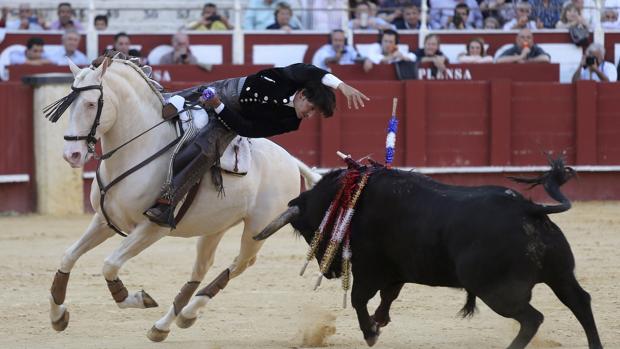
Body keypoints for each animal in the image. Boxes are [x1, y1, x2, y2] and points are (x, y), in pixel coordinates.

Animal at [47, 56, 312, 340]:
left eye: (91, 103)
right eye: (68, 103)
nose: (72, 154)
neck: (140, 147)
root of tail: (290, 159)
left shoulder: (153, 228)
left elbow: (109, 264)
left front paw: (137, 298)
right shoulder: (104, 220)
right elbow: (68, 256)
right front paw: (58, 316)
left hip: (257, 230)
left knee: (241, 263)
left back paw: (183, 314)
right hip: (215, 227)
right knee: (202, 267)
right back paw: (172, 321)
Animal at [254, 158, 604, 348]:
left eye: (311, 229)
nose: (330, 272)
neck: (353, 200)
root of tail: (529, 209)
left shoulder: (370, 270)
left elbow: (358, 299)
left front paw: (370, 332)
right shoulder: (395, 272)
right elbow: (387, 298)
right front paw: (380, 322)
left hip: (499, 291)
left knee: (533, 318)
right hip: (560, 274)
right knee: (580, 301)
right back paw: (595, 345)